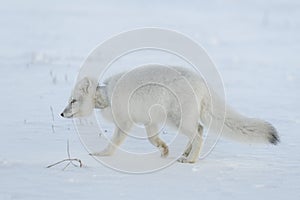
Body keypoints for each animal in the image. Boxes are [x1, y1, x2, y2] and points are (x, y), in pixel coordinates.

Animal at [61, 65, 278, 163]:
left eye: (73, 101)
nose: (62, 114)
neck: (108, 95)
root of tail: (202, 83)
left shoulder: (125, 124)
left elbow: (113, 144)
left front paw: (101, 155)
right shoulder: (149, 122)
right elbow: (153, 139)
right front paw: (164, 150)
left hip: (178, 120)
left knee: (199, 135)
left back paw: (191, 160)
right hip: (181, 120)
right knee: (199, 129)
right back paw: (184, 155)